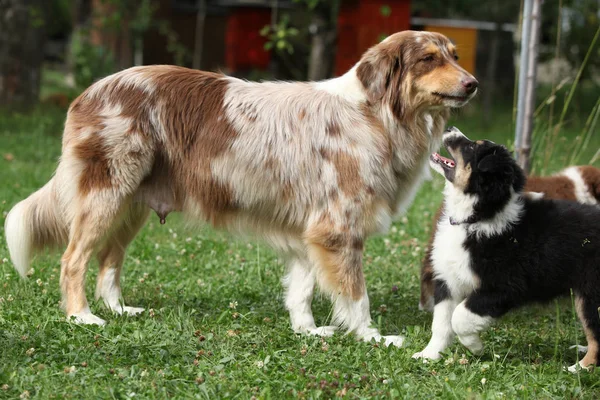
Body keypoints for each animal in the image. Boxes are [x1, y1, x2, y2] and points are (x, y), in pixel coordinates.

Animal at [4, 31, 478, 346]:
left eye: (455, 56)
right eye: (429, 59)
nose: (472, 83)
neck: (376, 116)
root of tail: (89, 91)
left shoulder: (310, 230)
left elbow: (302, 290)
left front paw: (308, 331)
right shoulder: (337, 228)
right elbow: (356, 296)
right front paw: (372, 337)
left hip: (130, 204)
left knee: (108, 260)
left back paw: (119, 309)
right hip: (106, 194)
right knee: (73, 259)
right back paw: (82, 317)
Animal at [412, 126, 600, 372]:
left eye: (471, 147)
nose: (450, 128)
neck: (475, 217)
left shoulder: (504, 287)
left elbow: (459, 317)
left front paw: (474, 346)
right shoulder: (448, 279)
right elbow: (441, 323)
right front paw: (429, 355)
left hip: (590, 295)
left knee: (596, 336)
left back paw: (578, 368)